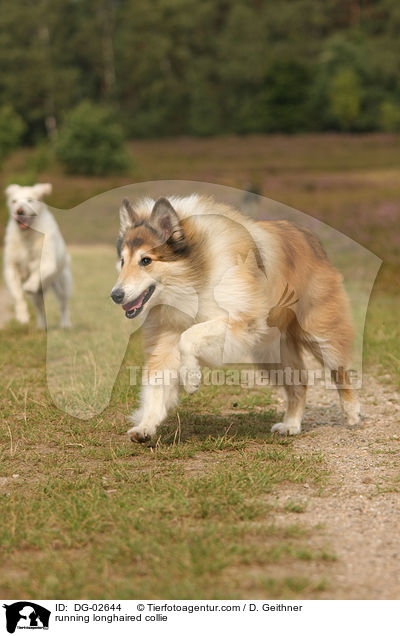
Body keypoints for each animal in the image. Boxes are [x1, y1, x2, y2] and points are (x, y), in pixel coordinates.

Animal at [3, 181, 72, 326]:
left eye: (30, 200)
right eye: (14, 201)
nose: (19, 210)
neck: (27, 235)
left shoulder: (48, 261)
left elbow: (36, 272)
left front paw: (29, 285)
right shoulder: (11, 269)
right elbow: (18, 296)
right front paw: (22, 317)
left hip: (62, 286)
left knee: (64, 305)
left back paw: (65, 324)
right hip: (38, 297)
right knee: (40, 309)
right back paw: (40, 325)